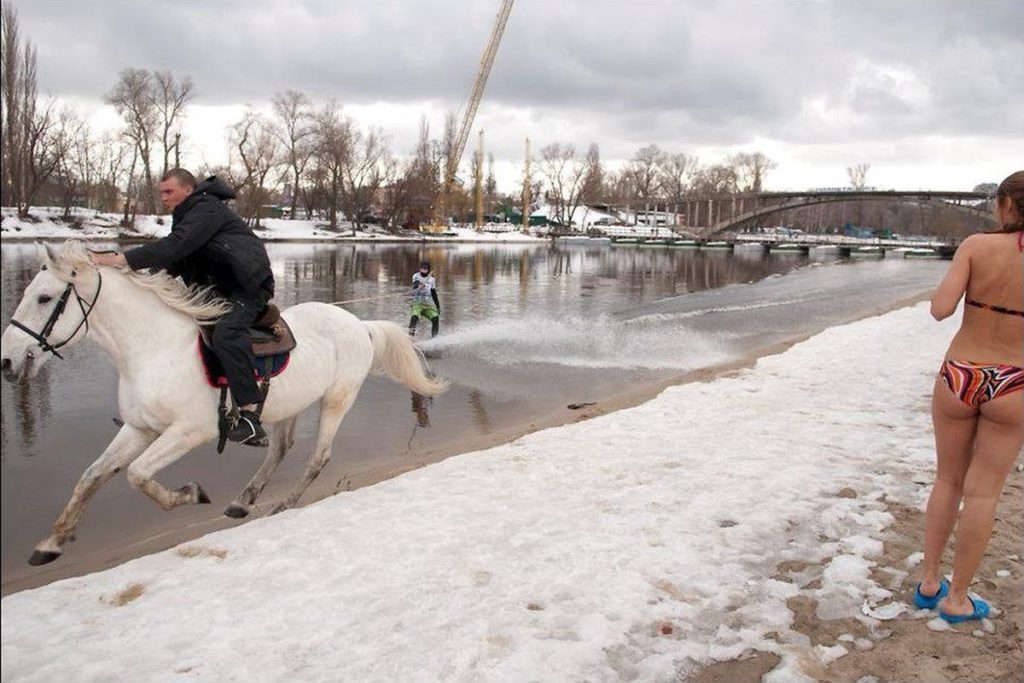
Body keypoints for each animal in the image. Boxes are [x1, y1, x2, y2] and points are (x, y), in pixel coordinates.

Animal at [1, 240, 448, 565]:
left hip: (337, 399)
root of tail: (360, 325)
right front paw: (52, 542)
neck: (154, 349)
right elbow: (93, 476)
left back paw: (281, 505)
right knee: (279, 449)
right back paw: (243, 501)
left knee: (317, 458)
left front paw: (192, 493)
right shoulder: (139, 428)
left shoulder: (189, 431)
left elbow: (138, 475)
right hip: (290, 405)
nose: (6, 361)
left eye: (44, 298)